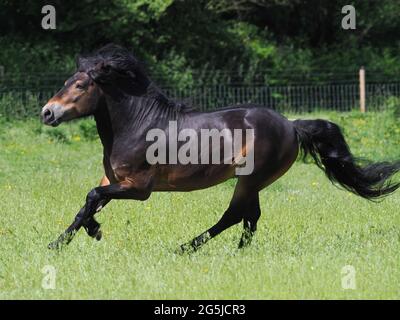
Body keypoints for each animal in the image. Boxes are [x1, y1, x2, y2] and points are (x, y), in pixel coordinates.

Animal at [41, 43, 400, 251]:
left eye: (80, 85)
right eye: (68, 82)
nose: (47, 112)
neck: (136, 125)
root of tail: (291, 125)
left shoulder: (139, 188)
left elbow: (92, 197)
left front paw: (90, 235)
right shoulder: (113, 180)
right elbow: (87, 205)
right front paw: (62, 242)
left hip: (250, 179)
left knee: (235, 214)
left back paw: (186, 248)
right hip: (254, 182)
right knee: (250, 217)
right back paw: (238, 252)